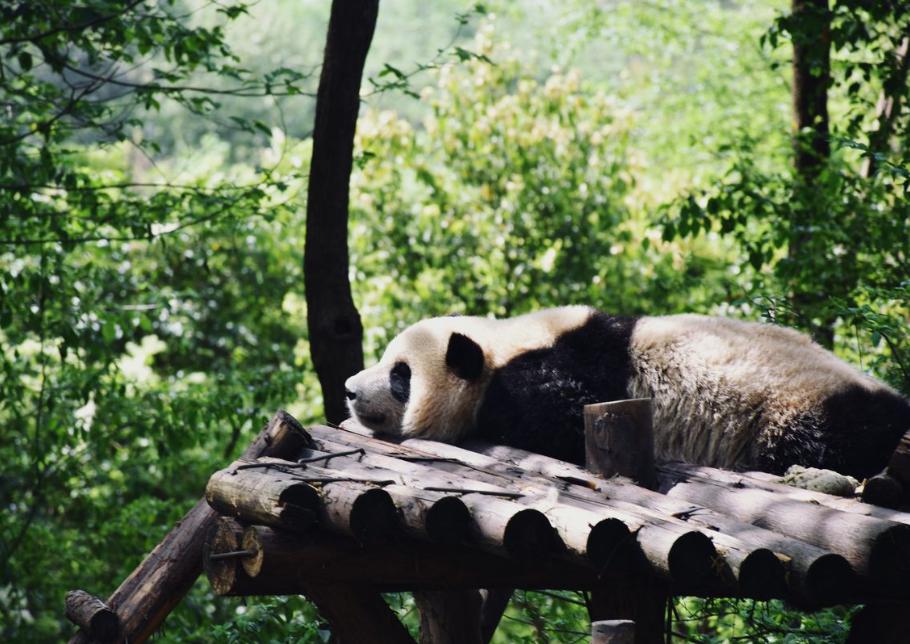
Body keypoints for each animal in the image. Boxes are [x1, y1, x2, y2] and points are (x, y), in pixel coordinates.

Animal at [344, 306, 910, 478]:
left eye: (399, 375)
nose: (349, 389)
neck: (501, 346)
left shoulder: (558, 370)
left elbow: (561, 418)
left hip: (796, 405)